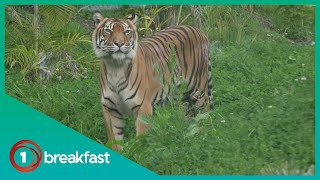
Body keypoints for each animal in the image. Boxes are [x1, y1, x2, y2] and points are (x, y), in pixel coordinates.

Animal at [92, 12, 212, 150]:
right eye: (108, 31)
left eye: (127, 32)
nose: (119, 43)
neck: (116, 67)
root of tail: (198, 30)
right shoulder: (110, 107)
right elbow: (114, 139)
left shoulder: (142, 106)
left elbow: (140, 139)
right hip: (180, 96)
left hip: (199, 91)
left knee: (204, 114)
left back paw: (204, 138)